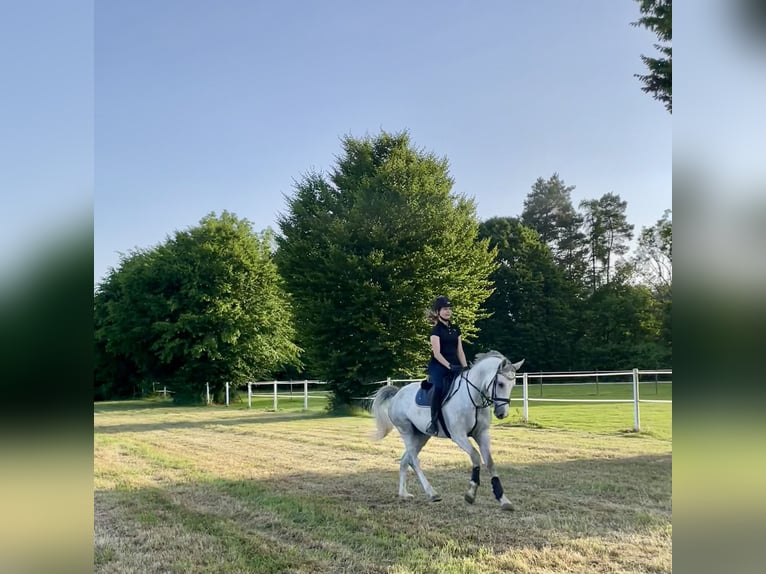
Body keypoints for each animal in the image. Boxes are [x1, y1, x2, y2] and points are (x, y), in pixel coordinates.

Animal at [371, 351, 524, 510]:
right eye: (500, 384)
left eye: (513, 385)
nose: (502, 414)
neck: (474, 398)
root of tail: (397, 394)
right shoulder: (459, 436)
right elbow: (475, 456)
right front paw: (471, 493)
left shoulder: (482, 434)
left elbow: (490, 463)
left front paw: (503, 499)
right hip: (406, 431)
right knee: (414, 460)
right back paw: (432, 493)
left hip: (421, 436)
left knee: (405, 460)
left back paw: (404, 494)